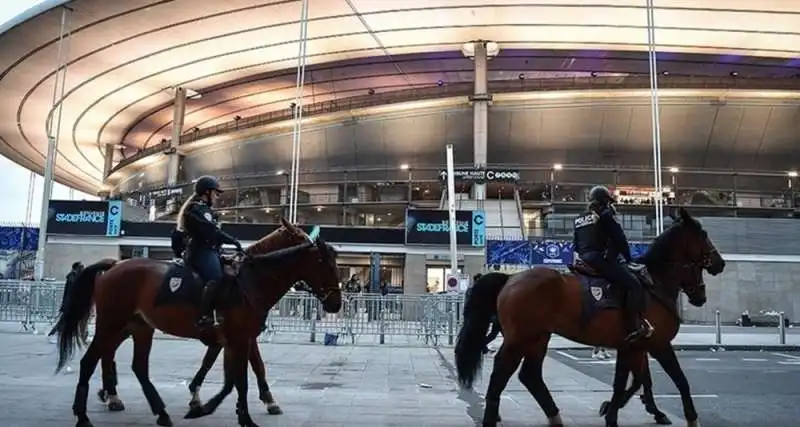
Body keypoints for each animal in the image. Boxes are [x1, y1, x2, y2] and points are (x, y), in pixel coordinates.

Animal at [53, 219, 340, 427]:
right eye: (323, 262)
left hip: (137, 327)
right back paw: (85, 414)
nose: (336, 304)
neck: (250, 280)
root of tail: (112, 266)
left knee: (131, 364)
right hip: (111, 324)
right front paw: (235, 411)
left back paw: (145, 407)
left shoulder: (239, 339)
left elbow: (240, 372)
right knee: (92, 360)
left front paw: (212, 403)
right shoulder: (237, 338)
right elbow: (239, 378)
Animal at [456, 210, 724, 427]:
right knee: (502, 371)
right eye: (704, 234)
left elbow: (628, 381)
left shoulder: (633, 346)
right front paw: (690, 417)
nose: (719, 263)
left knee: (530, 375)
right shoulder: (658, 344)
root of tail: (510, 279)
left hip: (538, 338)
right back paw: (492, 416)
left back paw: (554, 415)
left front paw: (614, 411)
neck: (653, 283)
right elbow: (678, 380)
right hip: (520, 338)